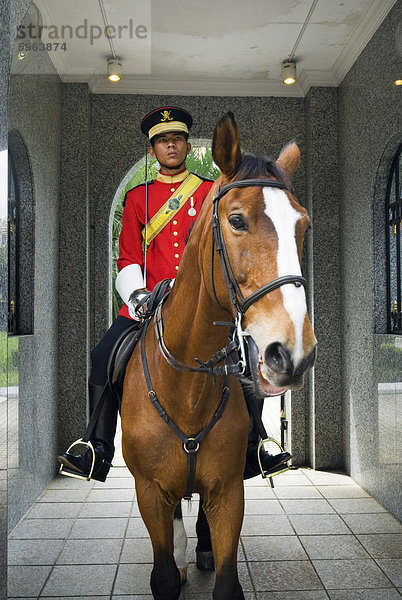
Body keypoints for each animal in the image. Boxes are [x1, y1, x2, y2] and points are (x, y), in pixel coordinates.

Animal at [121, 110, 316, 596]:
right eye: (237, 221)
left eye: (303, 225)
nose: (293, 352)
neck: (187, 387)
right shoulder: (149, 490)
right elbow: (164, 576)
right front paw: (172, 561)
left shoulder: (228, 491)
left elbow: (228, 581)